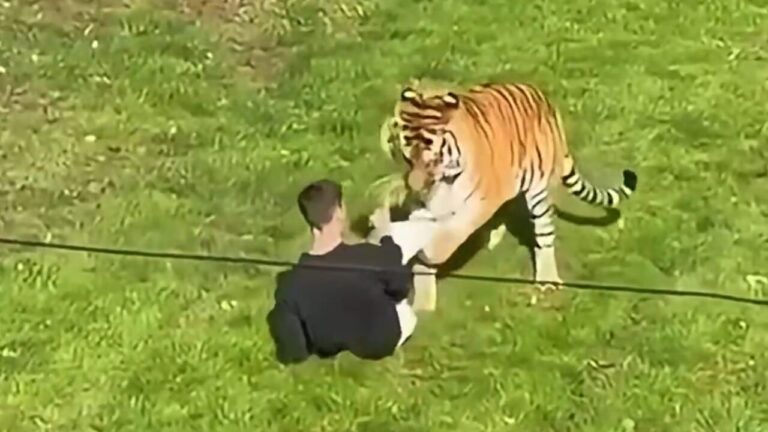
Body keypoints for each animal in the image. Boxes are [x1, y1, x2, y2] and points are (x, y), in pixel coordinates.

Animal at [384, 81, 638, 295]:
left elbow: (455, 231)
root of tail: (546, 103)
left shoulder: (481, 201)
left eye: (433, 159)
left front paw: (430, 254)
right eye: (407, 156)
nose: (414, 187)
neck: (446, 180)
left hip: (538, 192)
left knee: (544, 234)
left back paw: (547, 279)